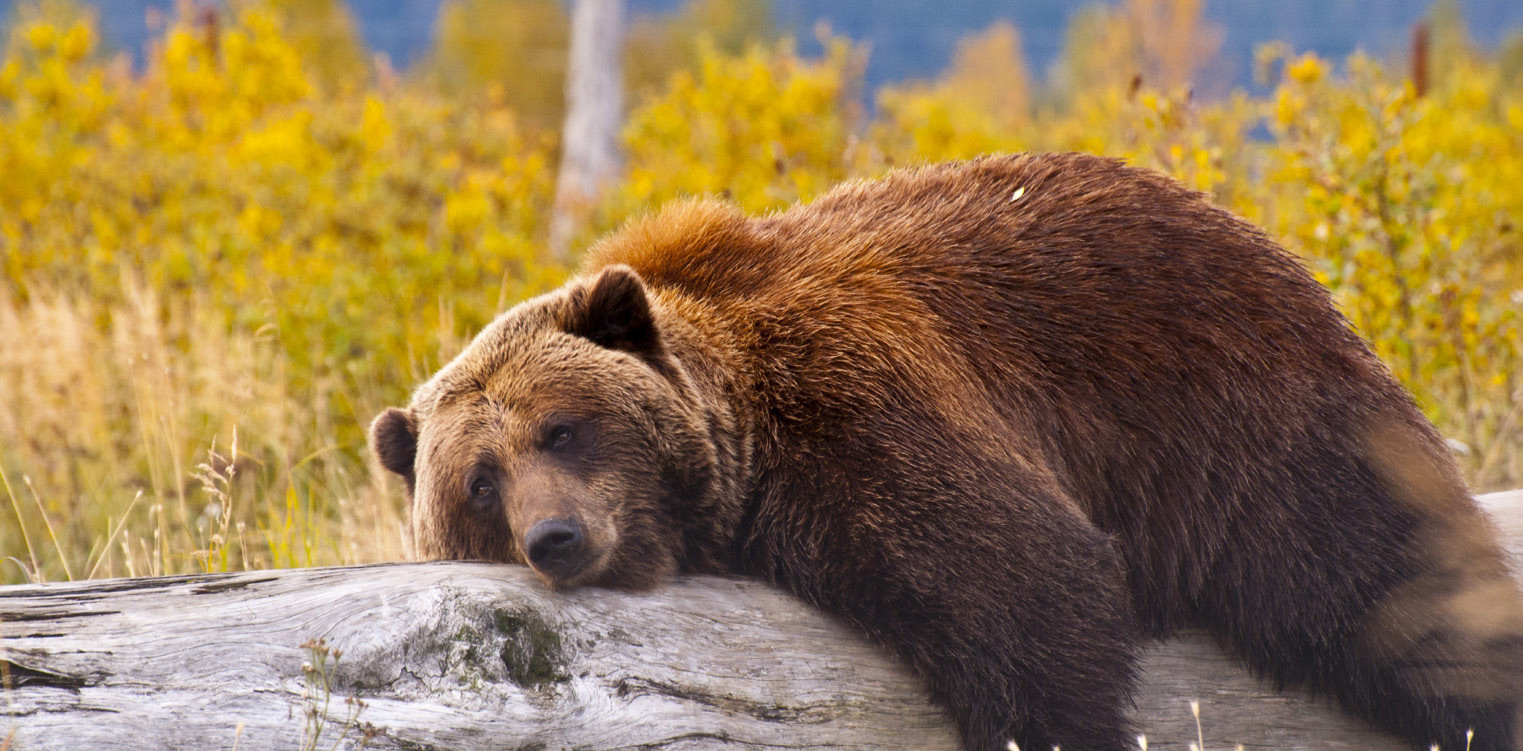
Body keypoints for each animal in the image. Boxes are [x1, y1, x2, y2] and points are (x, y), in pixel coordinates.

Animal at [371, 153, 1523, 749]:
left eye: (561, 426)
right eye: (479, 481)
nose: (557, 536)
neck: (750, 447)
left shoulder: (860, 403)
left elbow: (1020, 584)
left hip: (1251, 424)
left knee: (1392, 589)